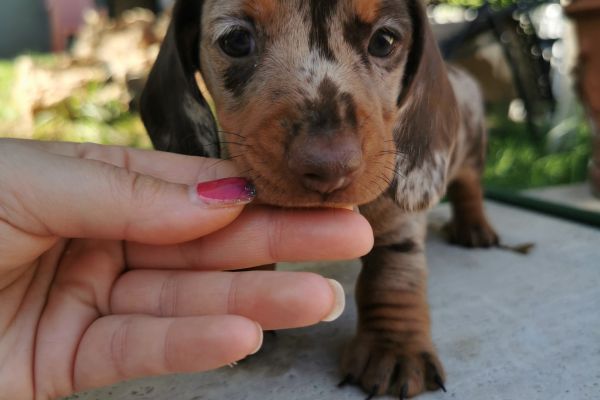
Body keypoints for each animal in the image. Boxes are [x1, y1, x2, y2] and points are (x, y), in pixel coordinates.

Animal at [139, 1, 496, 398]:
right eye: (236, 40)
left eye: (384, 41)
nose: (330, 166)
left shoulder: (398, 219)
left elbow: (392, 276)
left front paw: (393, 348)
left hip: (471, 151)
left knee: (469, 187)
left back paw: (475, 226)